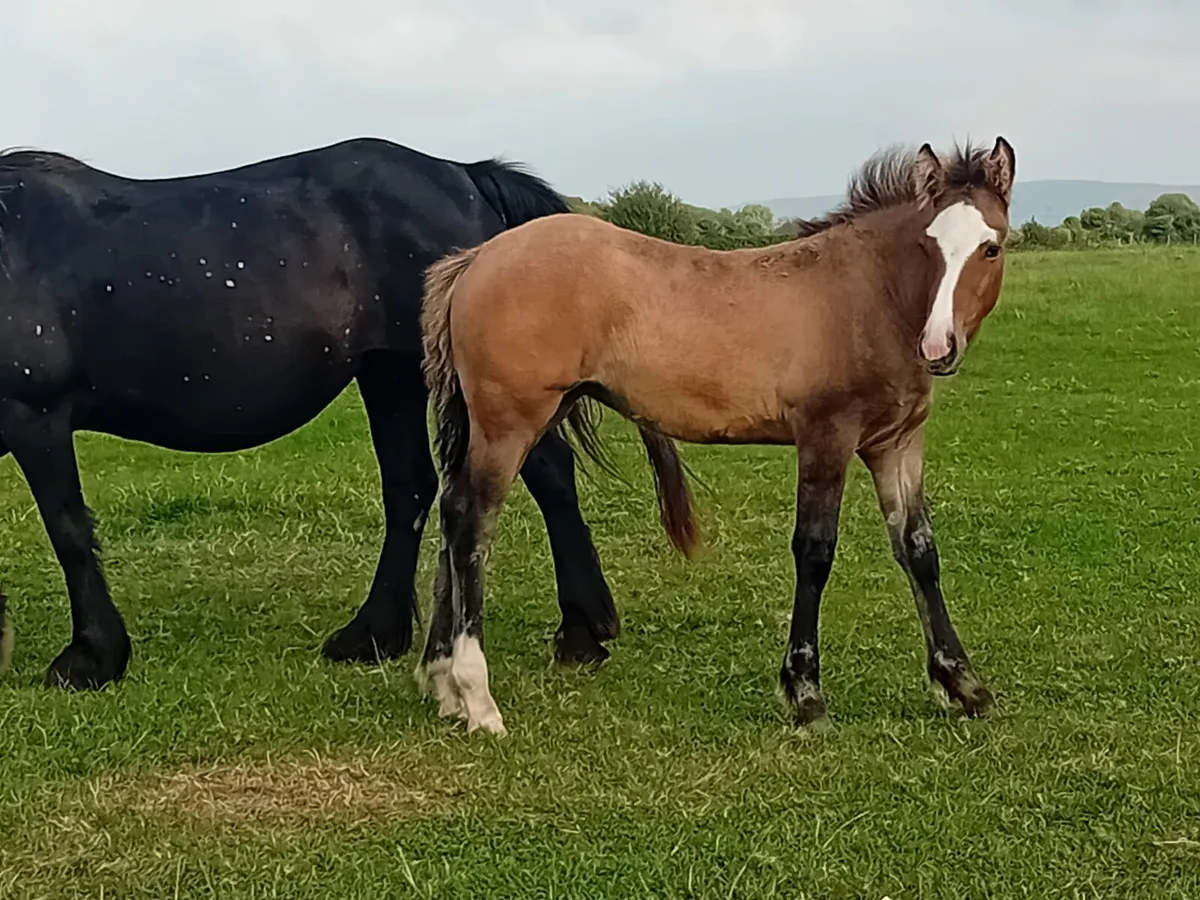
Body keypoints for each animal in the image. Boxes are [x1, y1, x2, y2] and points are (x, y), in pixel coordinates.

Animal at [0, 136, 634, 690]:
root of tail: (462, 175)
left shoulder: (36, 417)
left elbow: (68, 531)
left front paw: (90, 658)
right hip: (390, 374)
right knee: (410, 488)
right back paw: (373, 635)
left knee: (548, 474)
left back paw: (581, 632)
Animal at [414, 136, 1016, 735]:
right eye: (927, 244)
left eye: (991, 248)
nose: (938, 347)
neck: (867, 297)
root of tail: (475, 259)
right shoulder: (826, 436)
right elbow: (814, 552)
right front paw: (805, 694)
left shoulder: (896, 443)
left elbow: (918, 549)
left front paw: (963, 684)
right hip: (509, 423)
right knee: (471, 523)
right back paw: (478, 698)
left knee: (452, 512)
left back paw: (443, 682)